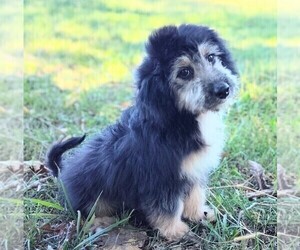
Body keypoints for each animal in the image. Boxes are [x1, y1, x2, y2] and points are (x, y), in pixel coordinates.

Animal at [47, 23, 239, 240]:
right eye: (185, 72)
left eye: (211, 57)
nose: (223, 89)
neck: (180, 119)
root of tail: (63, 174)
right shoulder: (160, 178)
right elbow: (167, 207)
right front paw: (175, 230)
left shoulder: (193, 170)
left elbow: (195, 194)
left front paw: (198, 215)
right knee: (88, 210)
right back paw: (101, 222)